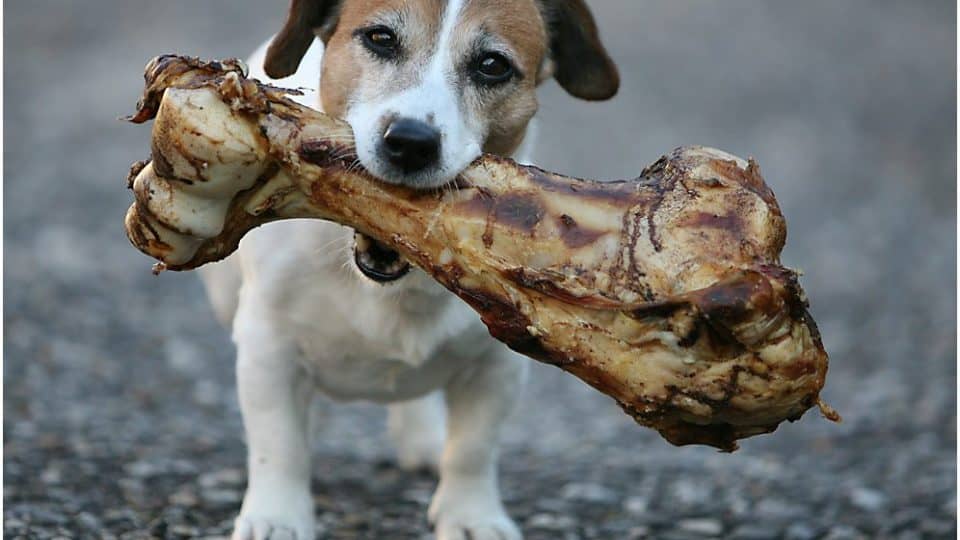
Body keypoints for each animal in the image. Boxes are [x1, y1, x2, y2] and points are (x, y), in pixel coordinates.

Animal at [200, 2, 620, 536]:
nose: (411, 142)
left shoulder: (497, 367)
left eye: (493, 65)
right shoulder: (266, 346)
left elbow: (472, 450)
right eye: (380, 38)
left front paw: (471, 516)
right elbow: (279, 445)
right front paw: (277, 517)